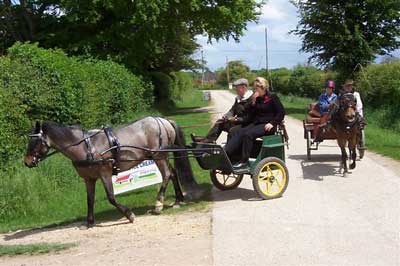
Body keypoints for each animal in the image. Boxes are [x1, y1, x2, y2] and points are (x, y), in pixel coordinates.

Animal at [23, 117, 202, 228]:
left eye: (34, 140)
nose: (27, 161)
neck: (86, 147)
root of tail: (164, 121)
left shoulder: (105, 173)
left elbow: (111, 197)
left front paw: (129, 215)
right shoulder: (89, 179)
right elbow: (90, 200)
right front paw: (89, 222)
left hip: (159, 155)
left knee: (166, 175)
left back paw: (158, 204)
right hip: (160, 156)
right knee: (172, 173)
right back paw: (178, 200)